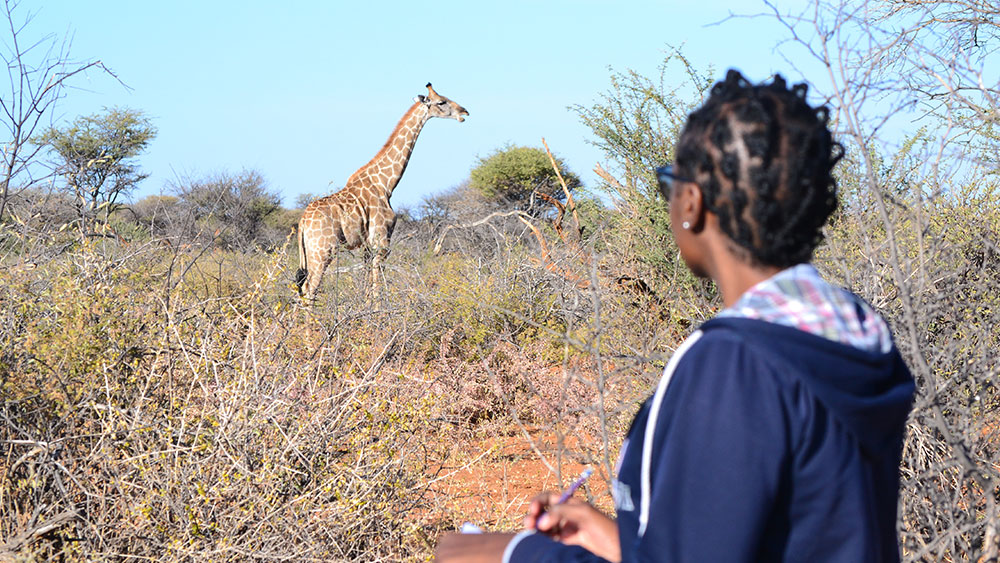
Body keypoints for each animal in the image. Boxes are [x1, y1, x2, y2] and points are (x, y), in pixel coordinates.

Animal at [296, 83, 468, 300]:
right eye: (441, 102)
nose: (464, 112)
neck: (386, 183)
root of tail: (302, 222)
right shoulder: (382, 240)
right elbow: (378, 286)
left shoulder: (367, 246)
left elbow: (367, 286)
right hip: (322, 251)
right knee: (310, 289)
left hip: (309, 253)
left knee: (302, 289)